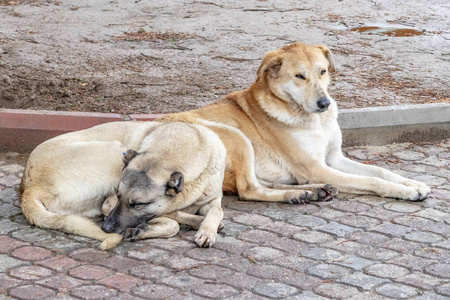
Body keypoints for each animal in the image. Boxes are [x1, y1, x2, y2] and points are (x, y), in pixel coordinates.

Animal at [19, 120, 227, 250]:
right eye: (120, 196)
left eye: (138, 204)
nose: (106, 228)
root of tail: (30, 186)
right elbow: (171, 218)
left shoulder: (213, 199)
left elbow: (217, 210)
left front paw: (207, 231)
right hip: (115, 150)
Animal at [161, 41, 428, 202]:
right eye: (300, 76)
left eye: (323, 71)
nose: (324, 103)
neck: (314, 120)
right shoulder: (316, 167)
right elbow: (371, 180)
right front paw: (405, 191)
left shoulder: (334, 158)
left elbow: (379, 170)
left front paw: (413, 183)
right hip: (236, 137)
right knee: (248, 189)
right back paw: (295, 194)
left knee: (257, 183)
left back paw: (313, 190)